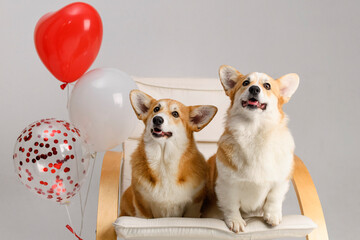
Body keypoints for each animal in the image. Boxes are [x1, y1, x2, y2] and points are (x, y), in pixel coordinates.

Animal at [120, 89, 217, 218]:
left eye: (175, 114)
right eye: (156, 109)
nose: (157, 119)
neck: (163, 159)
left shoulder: (194, 205)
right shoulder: (142, 205)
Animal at [207, 65, 300, 232]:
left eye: (267, 86)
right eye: (245, 83)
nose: (254, 89)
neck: (254, 130)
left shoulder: (281, 180)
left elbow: (274, 197)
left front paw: (273, 216)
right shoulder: (226, 184)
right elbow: (231, 205)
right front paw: (235, 221)